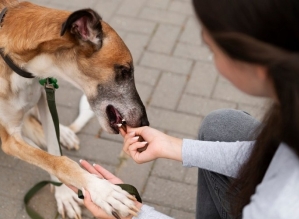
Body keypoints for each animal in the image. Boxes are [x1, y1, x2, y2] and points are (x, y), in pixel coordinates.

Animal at [0, 0, 149, 218]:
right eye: (124, 71)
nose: (145, 123)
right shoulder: (9, 138)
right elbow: (58, 161)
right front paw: (103, 192)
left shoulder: (43, 96)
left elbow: (55, 151)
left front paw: (63, 194)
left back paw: (65, 134)